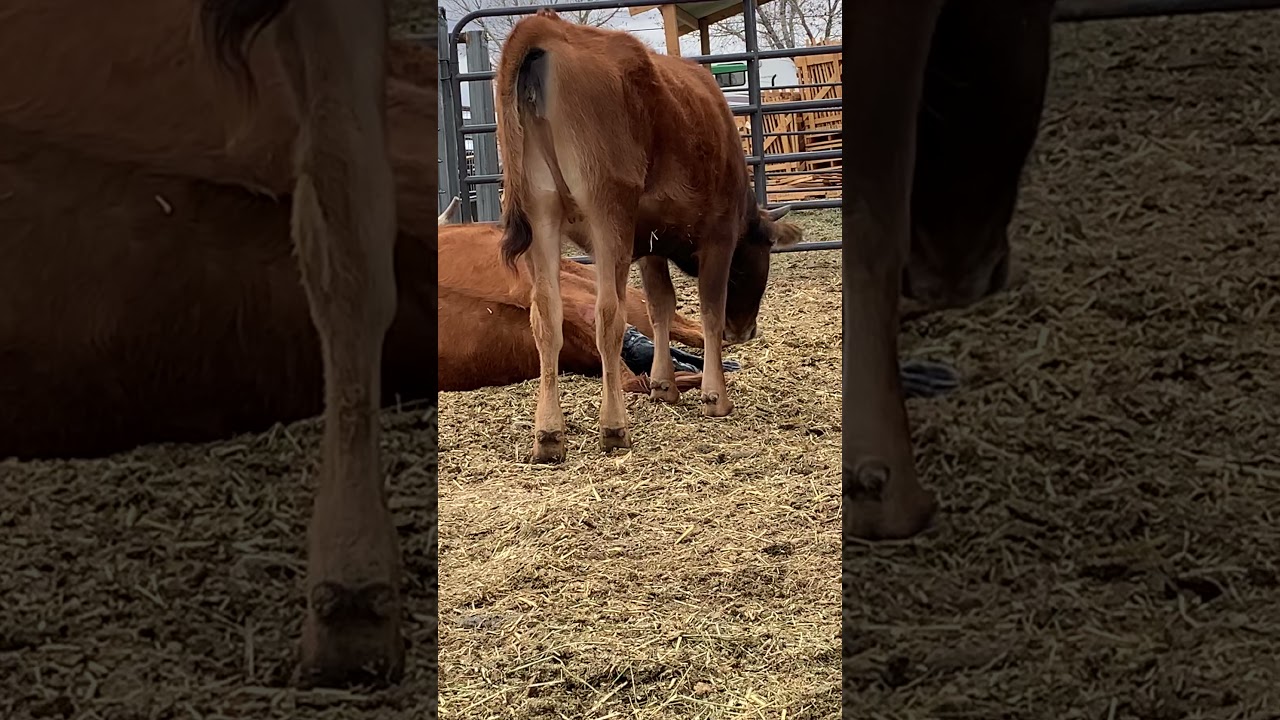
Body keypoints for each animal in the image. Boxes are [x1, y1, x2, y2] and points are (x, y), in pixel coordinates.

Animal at [494, 9, 804, 464]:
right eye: (760, 255)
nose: (746, 332)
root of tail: (549, 28)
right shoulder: (718, 237)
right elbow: (709, 309)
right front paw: (715, 397)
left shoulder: (650, 245)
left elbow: (661, 306)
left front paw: (663, 385)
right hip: (608, 213)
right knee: (609, 315)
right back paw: (614, 428)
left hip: (540, 213)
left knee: (546, 317)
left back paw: (549, 435)